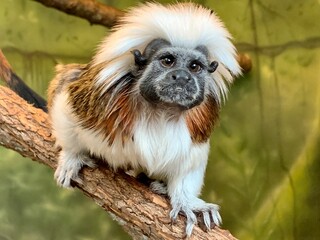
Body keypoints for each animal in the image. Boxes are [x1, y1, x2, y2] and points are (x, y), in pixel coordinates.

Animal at [47, 2, 241, 237]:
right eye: (168, 61)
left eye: (195, 67)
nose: (182, 77)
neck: (161, 112)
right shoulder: (97, 102)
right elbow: (66, 97)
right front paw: (72, 156)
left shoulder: (200, 124)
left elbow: (190, 162)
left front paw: (186, 201)